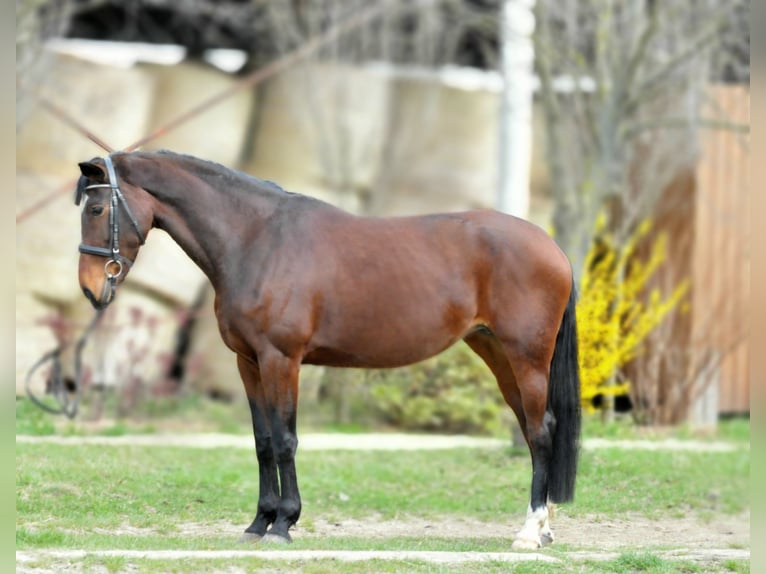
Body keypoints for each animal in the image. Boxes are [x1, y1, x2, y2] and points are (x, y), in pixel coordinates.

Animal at [75, 150, 581, 550]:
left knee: (540, 432)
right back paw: (544, 528)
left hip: (527, 358)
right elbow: (262, 442)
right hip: (497, 355)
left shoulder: (282, 360)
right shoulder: (248, 363)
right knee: (533, 429)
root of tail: (552, 247)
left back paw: (529, 532)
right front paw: (258, 523)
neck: (257, 239)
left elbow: (285, 439)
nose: (90, 289)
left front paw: (284, 524)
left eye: (97, 208)